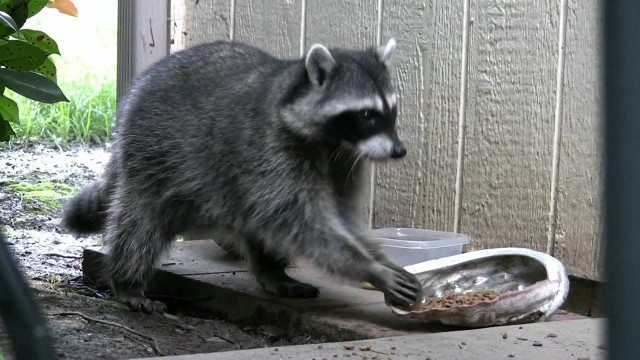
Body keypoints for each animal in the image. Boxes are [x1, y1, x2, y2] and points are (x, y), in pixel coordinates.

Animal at [62, 39, 422, 312]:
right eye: (366, 115)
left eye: (392, 112)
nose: (399, 151)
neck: (329, 138)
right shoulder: (269, 146)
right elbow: (306, 223)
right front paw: (370, 267)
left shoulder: (344, 157)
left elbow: (343, 217)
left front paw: (380, 258)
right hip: (151, 152)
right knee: (141, 223)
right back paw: (128, 281)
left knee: (260, 224)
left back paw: (271, 271)